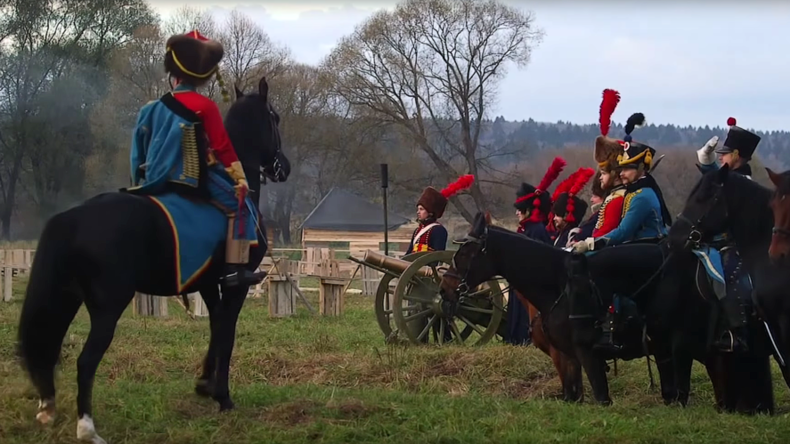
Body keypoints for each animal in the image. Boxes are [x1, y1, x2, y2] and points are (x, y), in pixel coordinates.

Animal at [17, 77, 290, 444]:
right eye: (274, 118)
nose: (283, 167)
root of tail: (74, 217)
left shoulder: (207, 283)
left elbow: (216, 326)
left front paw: (205, 384)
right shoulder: (237, 283)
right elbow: (228, 332)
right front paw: (223, 396)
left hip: (66, 297)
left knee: (48, 345)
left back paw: (47, 408)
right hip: (108, 306)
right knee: (85, 361)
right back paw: (87, 427)